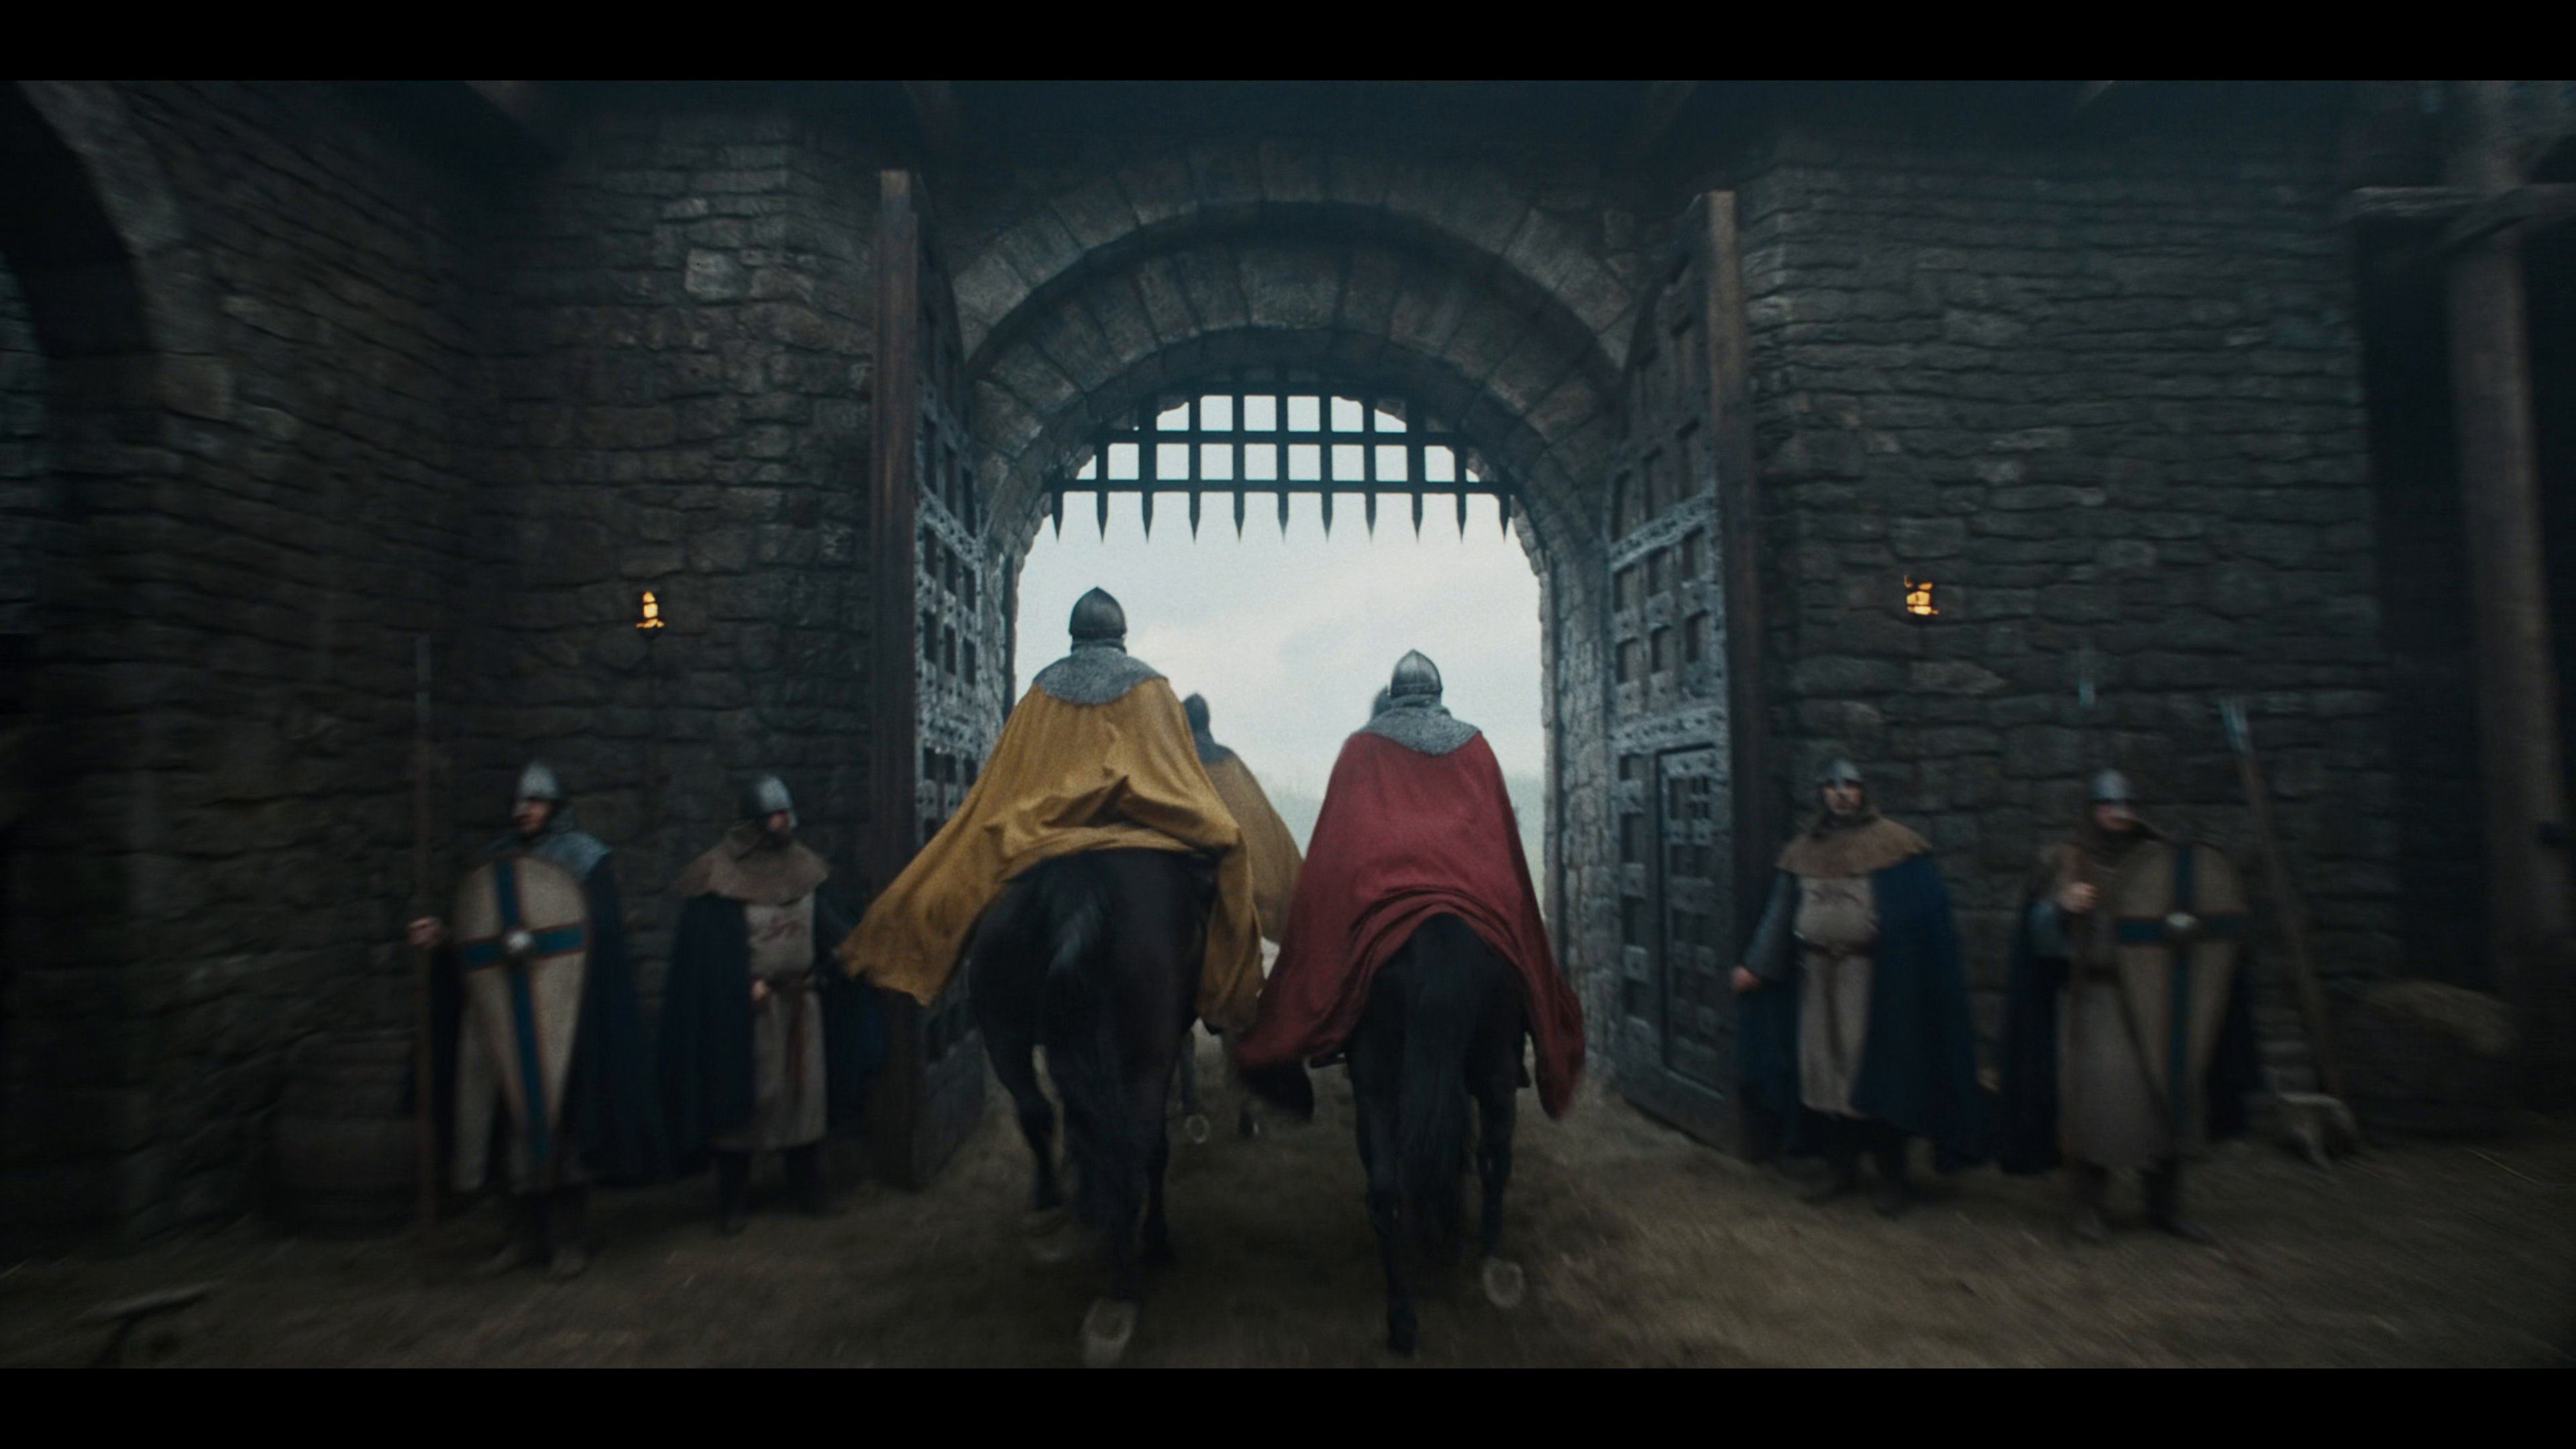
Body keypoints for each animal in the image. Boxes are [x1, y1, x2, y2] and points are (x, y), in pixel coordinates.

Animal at [967, 847, 1214, 1368]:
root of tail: (1080, 890)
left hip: (1003, 1033)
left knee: (1038, 1114)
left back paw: (1049, 1208)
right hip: (1142, 1060)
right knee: (1135, 1157)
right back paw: (1133, 1276)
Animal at [1343, 913, 1529, 1356]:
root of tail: (1438, 927)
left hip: (1376, 1081)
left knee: (1387, 1193)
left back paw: (1403, 1320)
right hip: (1497, 1071)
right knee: (1493, 1160)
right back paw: (1483, 1257)